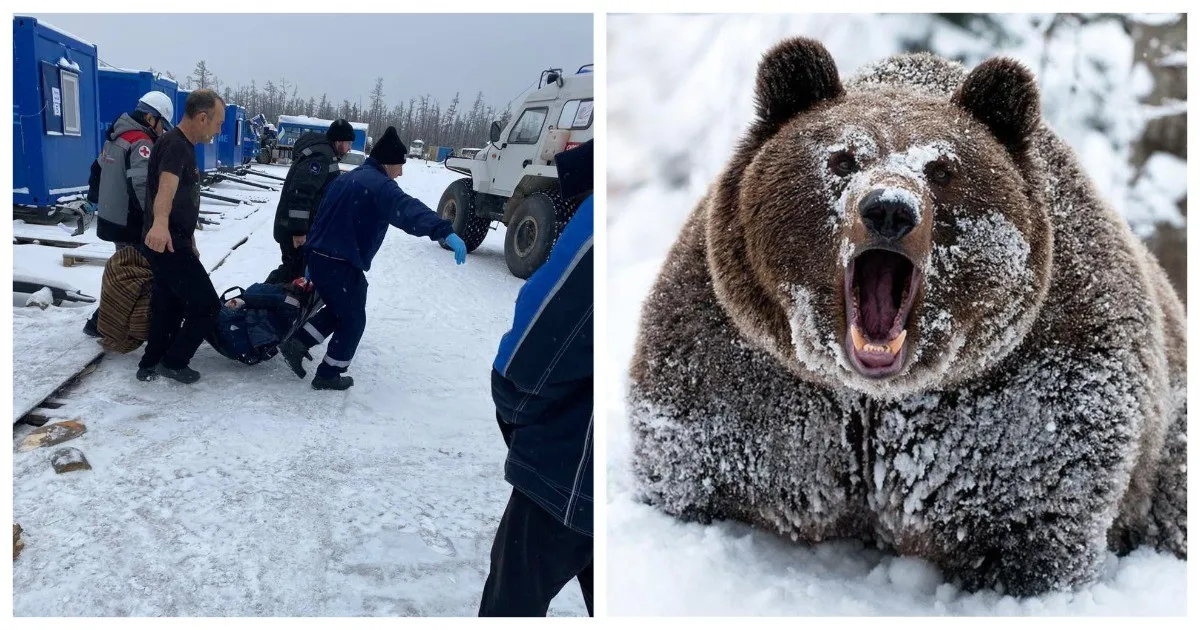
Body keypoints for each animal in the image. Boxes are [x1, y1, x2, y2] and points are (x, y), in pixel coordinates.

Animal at [633, 36, 1185, 597]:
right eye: (843, 158)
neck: (873, 399)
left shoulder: (1031, 390)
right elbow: (702, 467)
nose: (890, 209)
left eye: (942, 169)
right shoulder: (745, 372)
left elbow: (1032, 514)